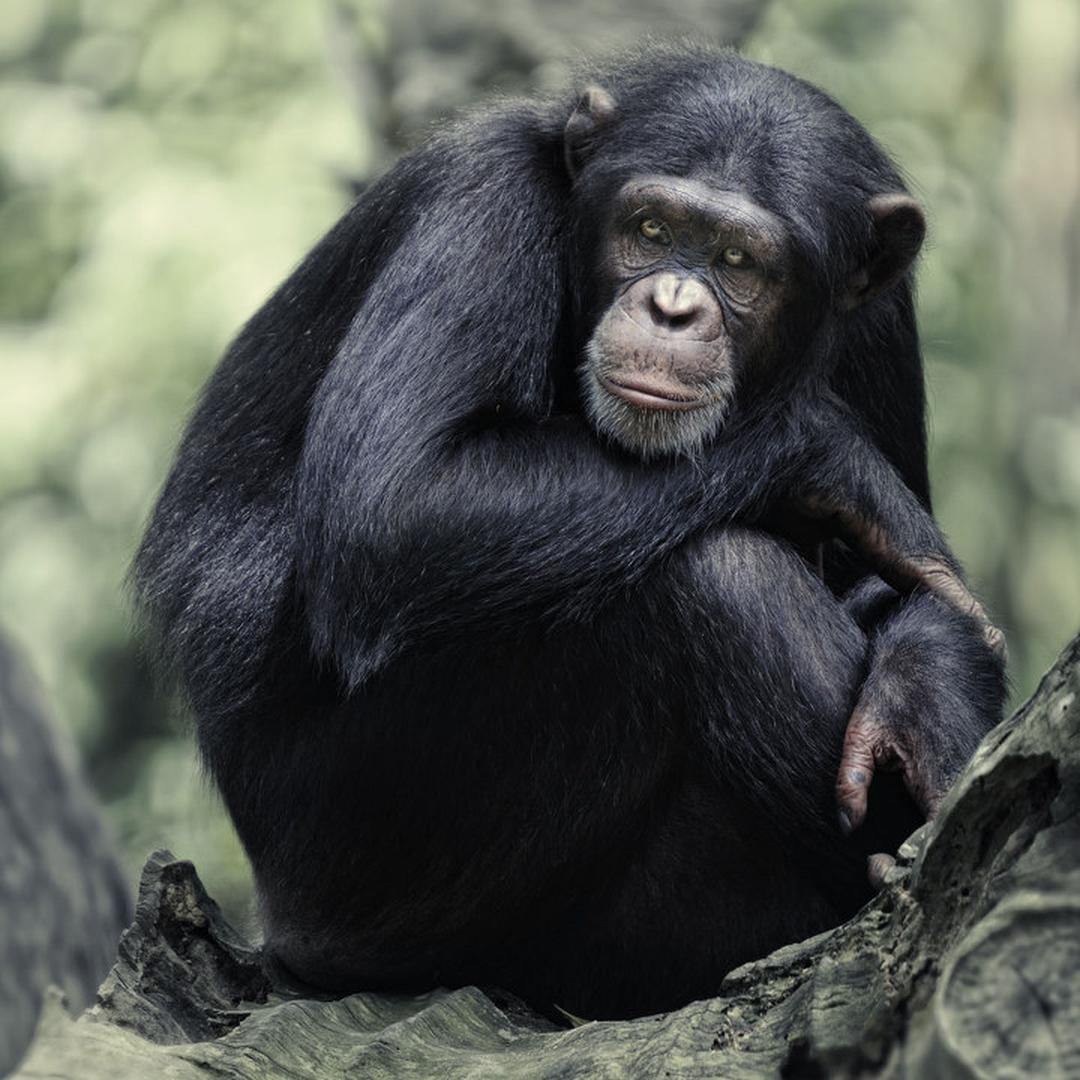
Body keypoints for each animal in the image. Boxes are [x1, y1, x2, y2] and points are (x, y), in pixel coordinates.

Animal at [132, 44, 1002, 1019]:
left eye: (739, 260)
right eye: (651, 230)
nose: (672, 305)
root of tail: (279, 928)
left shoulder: (884, 319)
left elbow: (902, 585)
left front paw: (930, 689)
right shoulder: (484, 204)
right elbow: (395, 504)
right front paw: (834, 458)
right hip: (373, 852)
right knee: (719, 584)